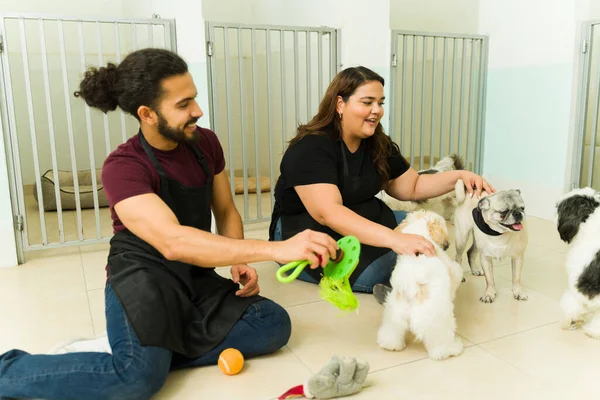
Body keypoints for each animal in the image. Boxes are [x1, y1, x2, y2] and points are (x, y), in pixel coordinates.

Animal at [380, 211, 464, 360]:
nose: (447, 244)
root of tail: (411, 288)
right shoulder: (453, 270)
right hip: (438, 320)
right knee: (440, 343)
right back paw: (450, 349)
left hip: (394, 313)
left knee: (391, 331)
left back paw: (391, 345)